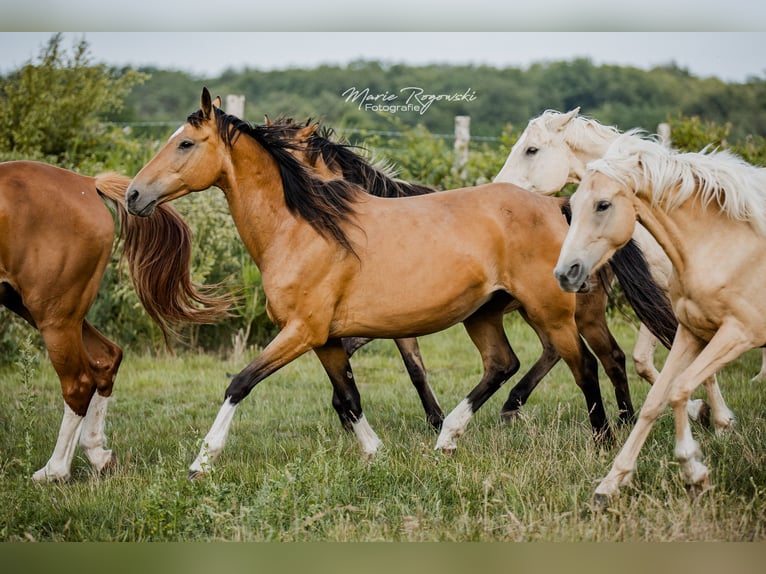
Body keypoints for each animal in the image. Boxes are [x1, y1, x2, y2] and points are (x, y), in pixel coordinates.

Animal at [0, 160, 232, 482]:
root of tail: (86, 183)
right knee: (106, 358)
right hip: (40, 308)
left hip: (53, 315)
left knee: (78, 383)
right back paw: (98, 454)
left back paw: (55, 470)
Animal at [269, 115, 678, 427]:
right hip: (539, 309)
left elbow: (406, 366)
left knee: (607, 357)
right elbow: (383, 357)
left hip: (578, 310)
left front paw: (432, 419)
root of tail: (565, 209)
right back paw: (518, 406)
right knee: (558, 352)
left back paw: (619, 418)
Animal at [493, 108, 736, 431]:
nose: (498, 189)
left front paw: (722, 421)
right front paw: (699, 410)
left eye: (531, 150)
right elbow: (643, 361)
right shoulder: (658, 294)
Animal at [554, 131, 760, 505]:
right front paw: (610, 485)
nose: (565, 273)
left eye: (602, 204)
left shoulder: (737, 331)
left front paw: (700, 458)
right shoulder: (692, 327)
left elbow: (678, 384)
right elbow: (657, 393)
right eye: (572, 207)